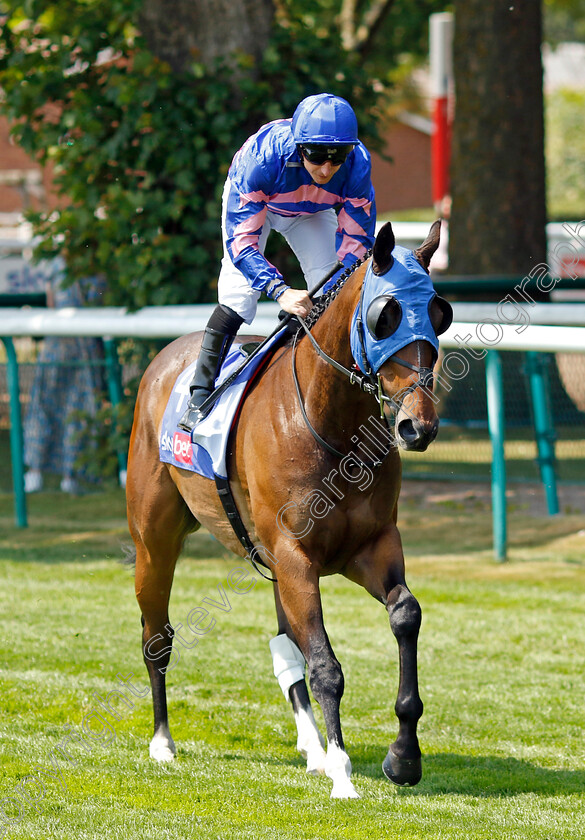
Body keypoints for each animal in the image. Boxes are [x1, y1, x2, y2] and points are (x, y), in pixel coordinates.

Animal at [125, 220, 450, 796]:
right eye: (385, 316)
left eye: (440, 314)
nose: (419, 425)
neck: (334, 427)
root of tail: (165, 358)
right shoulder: (298, 557)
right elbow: (325, 665)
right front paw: (343, 772)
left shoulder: (369, 547)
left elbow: (405, 615)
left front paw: (403, 756)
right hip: (154, 543)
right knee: (156, 637)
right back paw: (163, 741)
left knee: (284, 643)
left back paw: (312, 749)